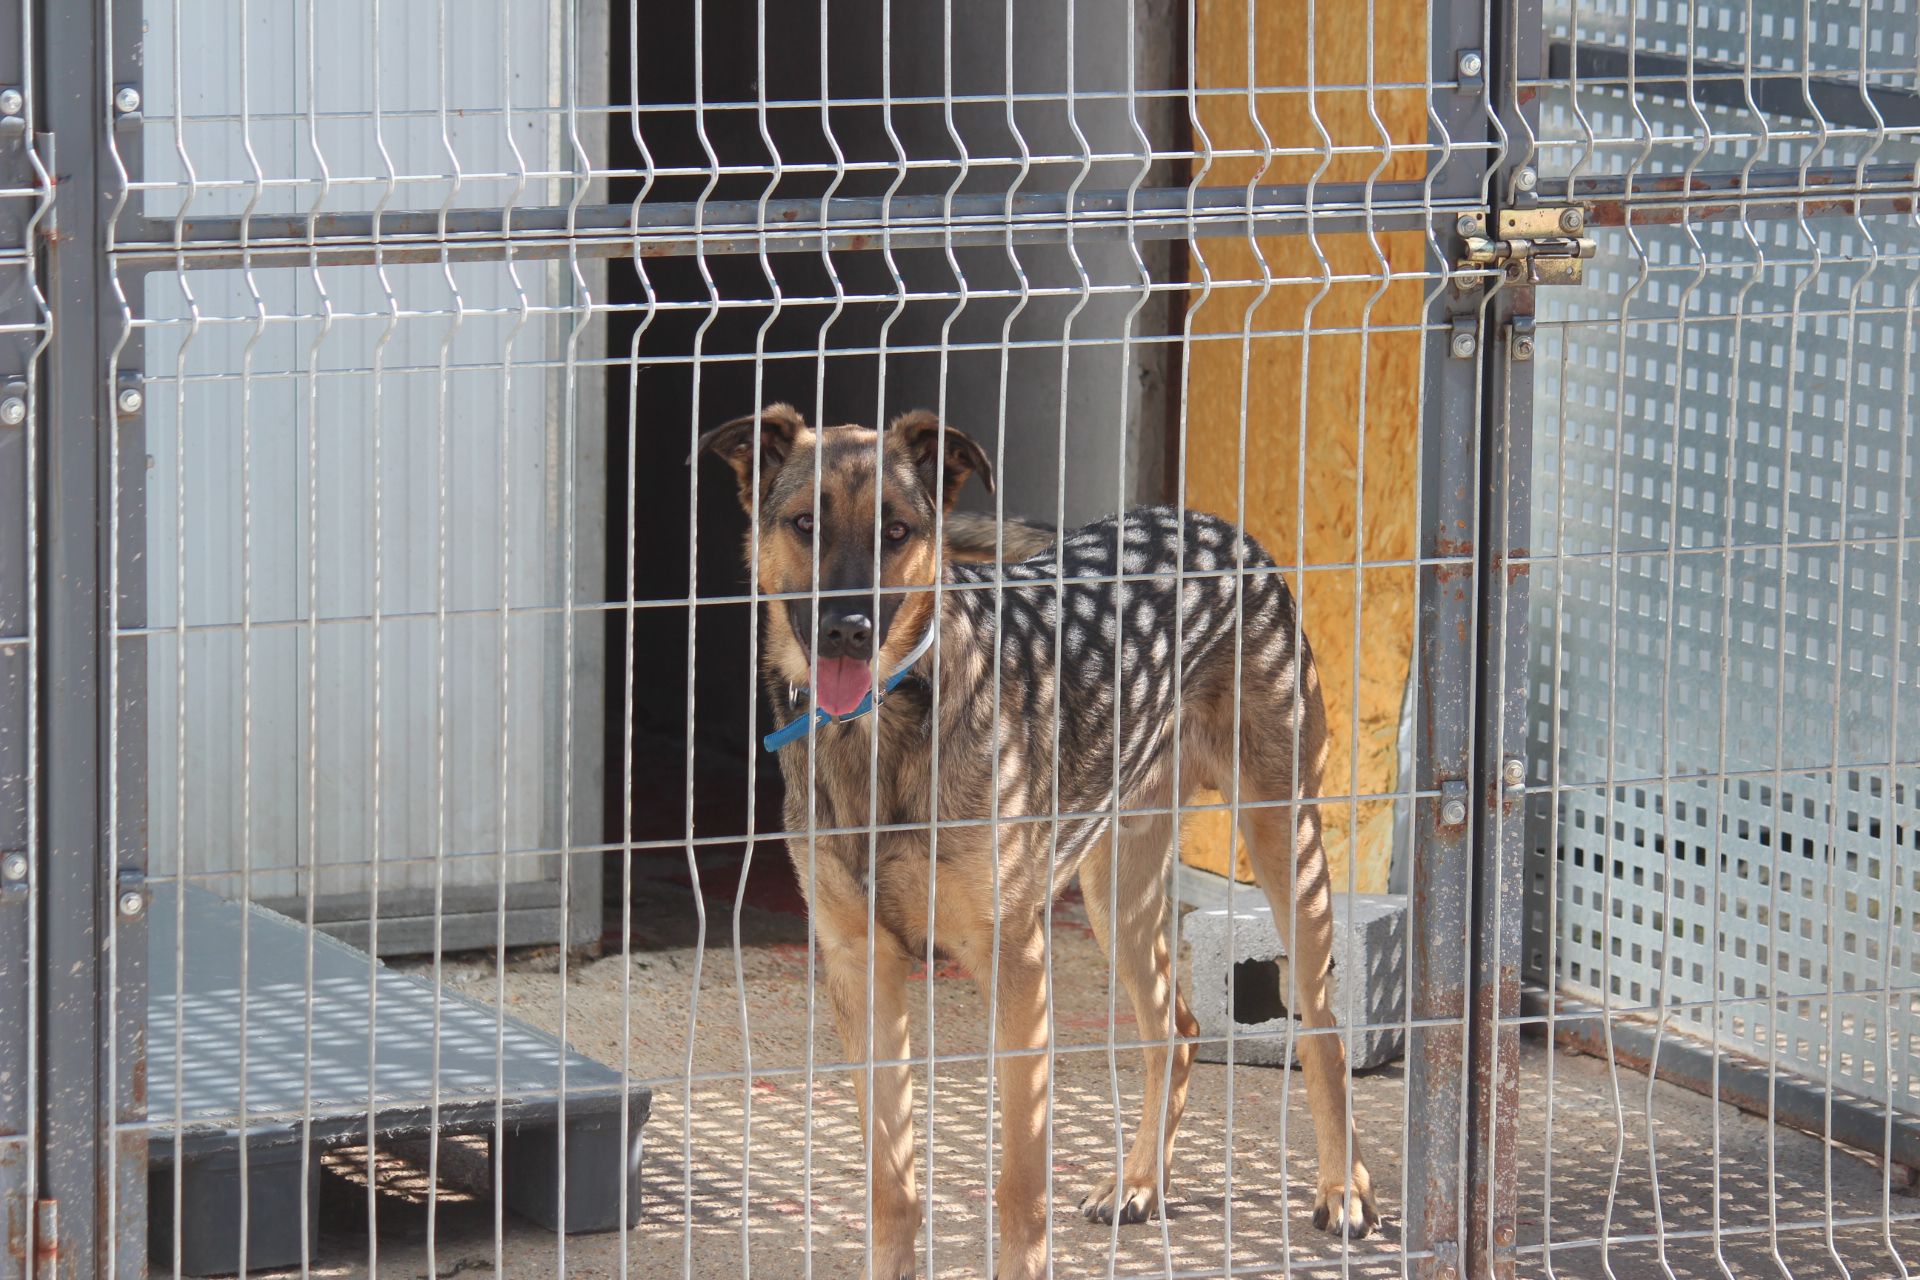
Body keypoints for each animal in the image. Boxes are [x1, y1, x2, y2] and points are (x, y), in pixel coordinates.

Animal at [698, 402, 1374, 1280]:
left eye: (897, 529)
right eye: (806, 524)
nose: (849, 629)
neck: (887, 730)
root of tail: (1218, 527)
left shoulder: (1015, 964)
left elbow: (1019, 1184)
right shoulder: (861, 965)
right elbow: (892, 1183)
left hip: (1282, 838)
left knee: (1322, 1027)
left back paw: (1343, 1187)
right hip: (1117, 885)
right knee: (1176, 1029)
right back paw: (1139, 1182)